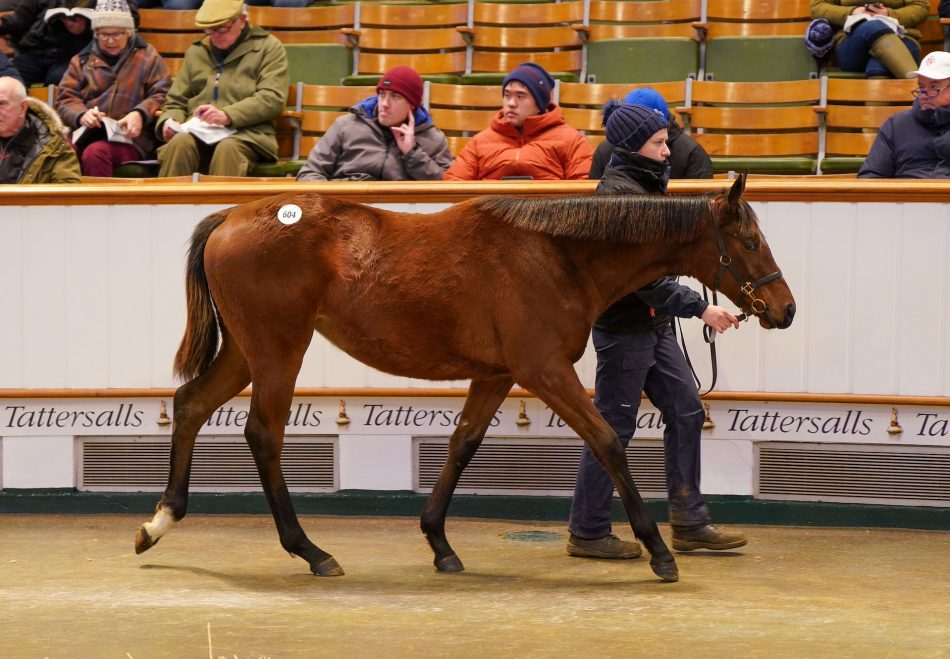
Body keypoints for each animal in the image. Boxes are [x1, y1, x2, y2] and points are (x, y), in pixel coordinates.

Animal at [134, 175, 796, 584]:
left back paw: (158, 523)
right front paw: (659, 553)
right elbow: (608, 441)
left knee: (190, 404)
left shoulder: (498, 375)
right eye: (749, 240)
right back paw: (311, 552)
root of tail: (232, 215)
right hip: (278, 351)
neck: (557, 254)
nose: (785, 309)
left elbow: (461, 445)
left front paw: (439, 543)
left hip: (248, 353)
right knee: (263, 435)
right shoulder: (544, 370)